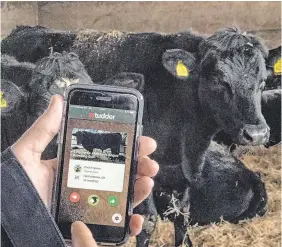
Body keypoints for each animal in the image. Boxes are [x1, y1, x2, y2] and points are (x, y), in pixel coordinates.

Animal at [1, 26, 276, 246]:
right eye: (220, 80)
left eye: (263, 81)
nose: (257, 133)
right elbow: (148, 222)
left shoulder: (180, 173)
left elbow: (182, 215)